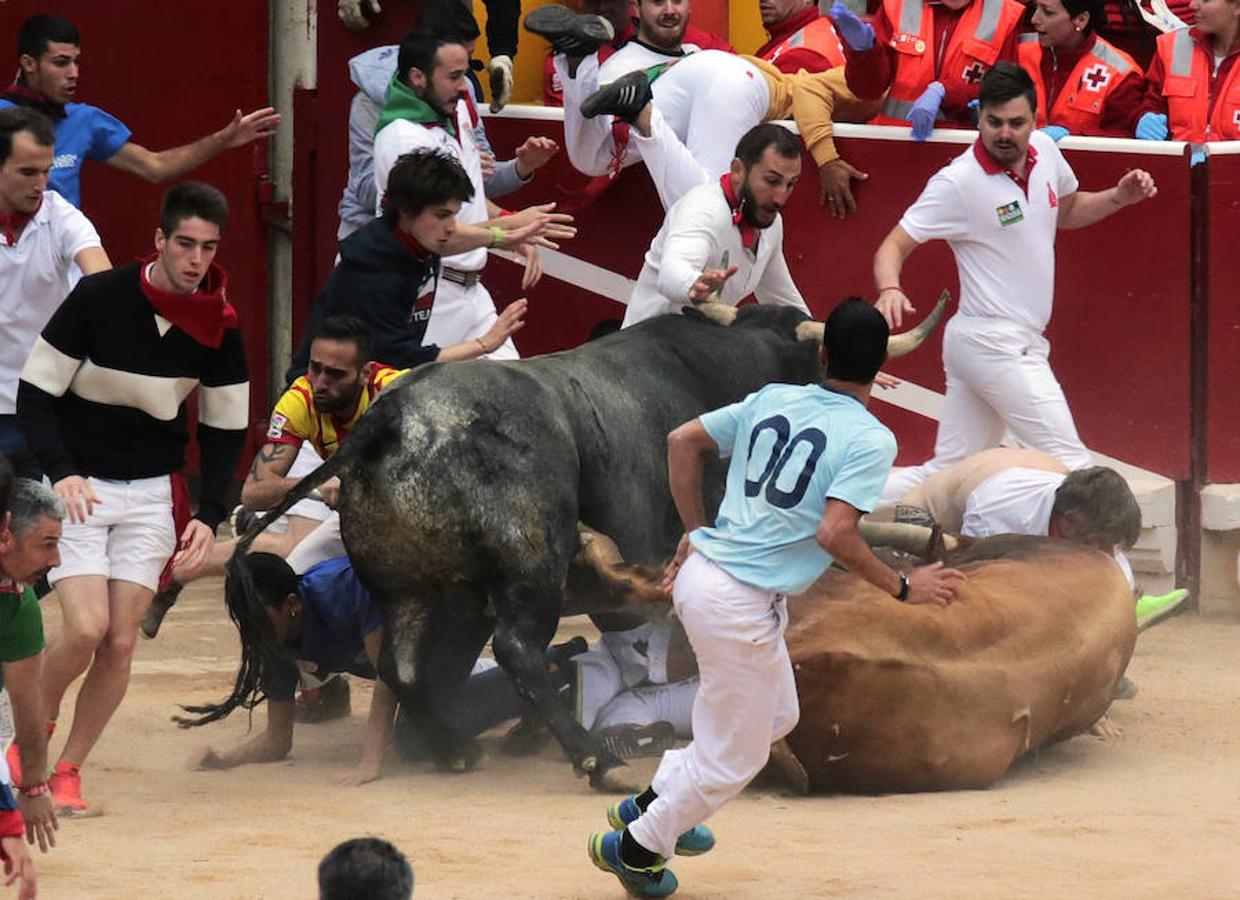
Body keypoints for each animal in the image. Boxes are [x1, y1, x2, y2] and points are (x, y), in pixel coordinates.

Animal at [220, 303, 937, 788]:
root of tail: (388, 422)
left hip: (412, 588)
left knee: (408, 667)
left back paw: (456, 746)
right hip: (528, 570)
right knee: (517, 648)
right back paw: (590, 756)